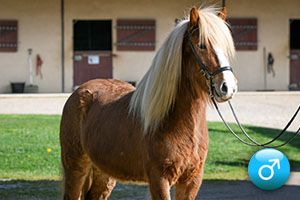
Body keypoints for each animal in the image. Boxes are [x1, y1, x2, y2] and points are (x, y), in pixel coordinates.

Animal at [60, 6, 237, 200]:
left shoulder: (192, 179)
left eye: (226, 47)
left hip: (104, 172)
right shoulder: (159, 179)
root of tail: (80, 91)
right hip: (75, 166)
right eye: (202, 45)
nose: (228, 87)